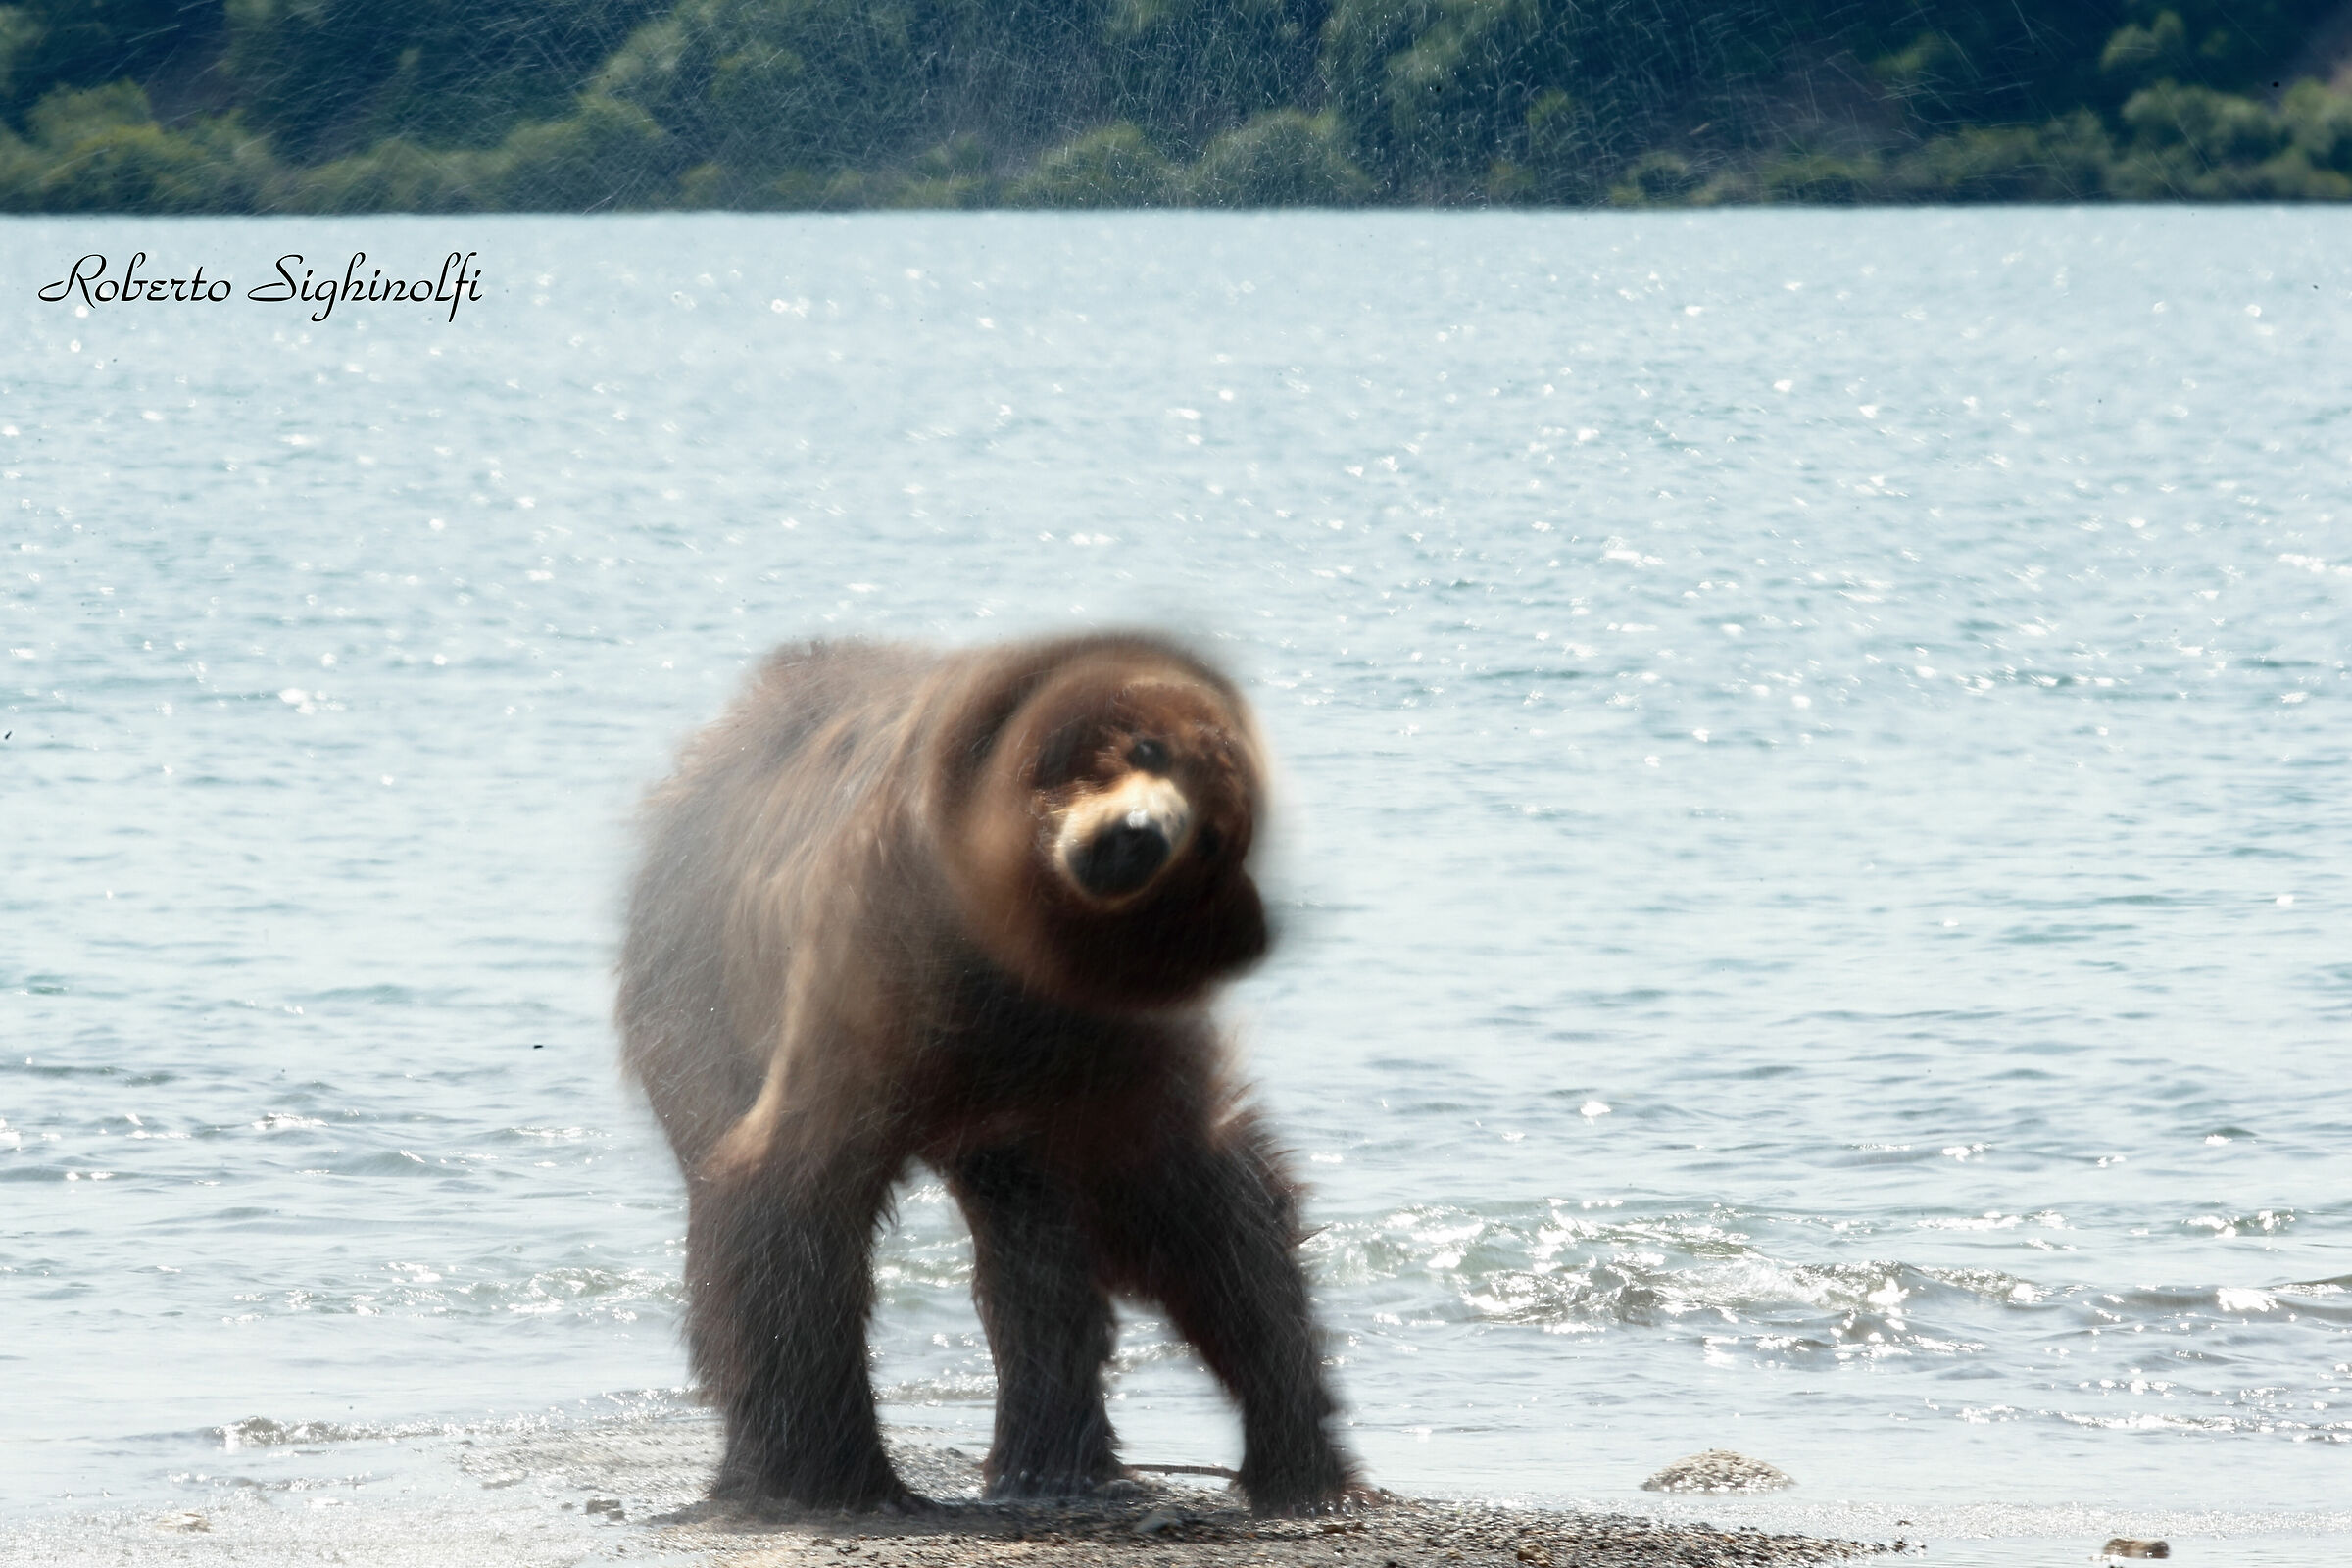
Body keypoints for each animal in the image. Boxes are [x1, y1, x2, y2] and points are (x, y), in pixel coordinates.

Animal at [617, 631, 1359, 1516]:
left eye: (1209, 835)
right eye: (1143, 745)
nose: (1137, 835)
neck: (1019, 954)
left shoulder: (1106, 1052)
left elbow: (1204, 1213)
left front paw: (1301, 1450)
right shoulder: (886, 975)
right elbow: (797, 1195)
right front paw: (829, 1468)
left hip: (1006, 1126)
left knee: (1034, 1244)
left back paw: (1055, 1462)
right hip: (698, 985)